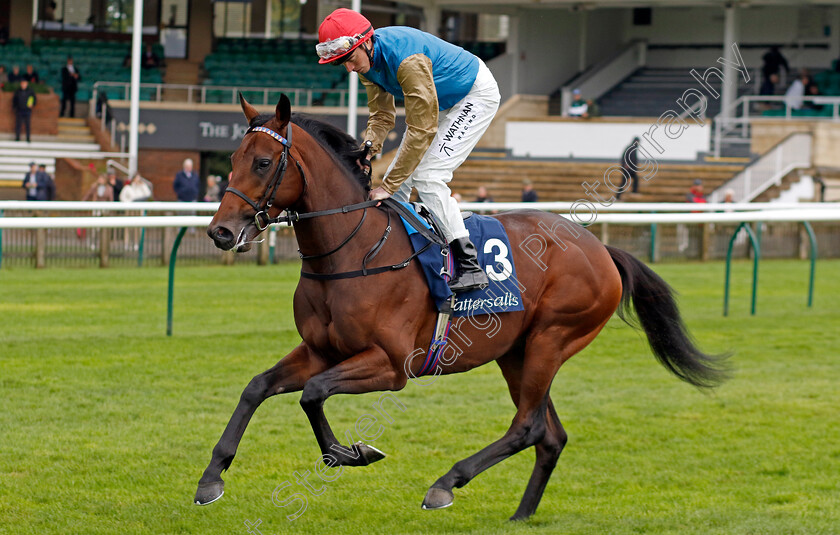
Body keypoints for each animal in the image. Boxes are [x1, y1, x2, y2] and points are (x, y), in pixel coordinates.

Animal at [199, 94, 728, 520]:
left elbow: (313, 393)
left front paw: (350, 453)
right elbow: (257, 387)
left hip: (552, 339)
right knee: (550, 434)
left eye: (263, 162)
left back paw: (445, 485)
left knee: (527, 426)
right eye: (233, 158)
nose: (220, 232)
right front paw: (211, 479)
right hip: (517, 352)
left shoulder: (391, 365)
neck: (353, 253)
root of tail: (599, 248)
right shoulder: (319, 350)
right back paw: (521, 515)